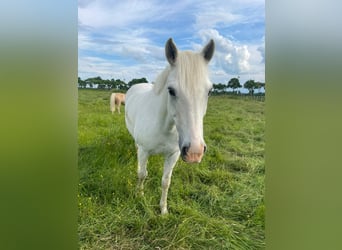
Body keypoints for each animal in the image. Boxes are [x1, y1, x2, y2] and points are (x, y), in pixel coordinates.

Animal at [124, 38, 215, 214]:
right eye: (171, 90)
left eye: (209, 91)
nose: (195, 152)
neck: (164, 127)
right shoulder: (144, 151)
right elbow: (142, 174)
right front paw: (139, 195)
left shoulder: (174, 154)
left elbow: (166, 181)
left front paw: (163, 209)